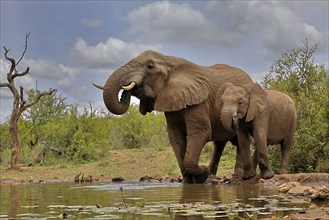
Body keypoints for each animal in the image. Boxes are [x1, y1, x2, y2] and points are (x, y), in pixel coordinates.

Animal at [97, 50, 254, 183]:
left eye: (150, 66)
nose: (127, 89)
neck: (170, 62)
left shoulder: (198, 102)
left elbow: (200, 132)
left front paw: (202, 173)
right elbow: (175, 138)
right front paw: (190, 181)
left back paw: (236, 176)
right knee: (220, 144)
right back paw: (213, 175)